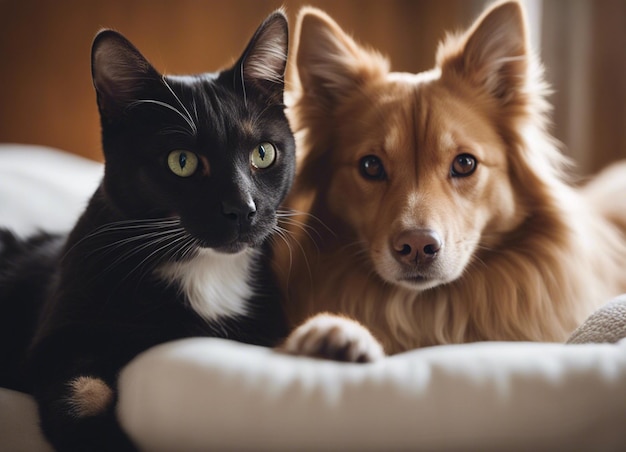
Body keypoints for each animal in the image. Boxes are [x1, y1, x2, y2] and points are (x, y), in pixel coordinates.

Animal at [0, 11, 292, 452]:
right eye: (182, 161)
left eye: (263, 153)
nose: (242, 208)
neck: (204, 272)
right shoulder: (55, 342)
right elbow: (83, 390)